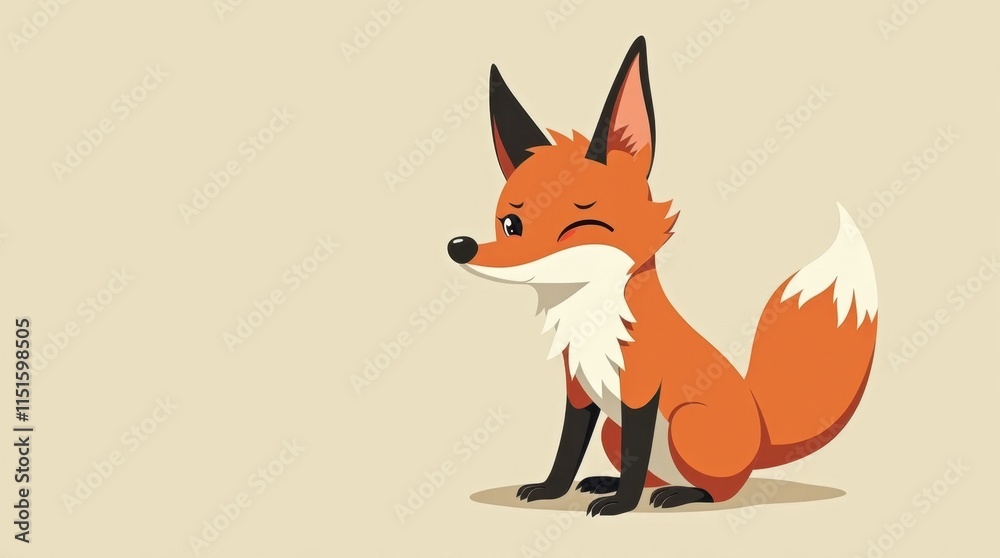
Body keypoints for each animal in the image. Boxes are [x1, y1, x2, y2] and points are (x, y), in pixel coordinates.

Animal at [446, 36, 878, 516]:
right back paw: (605, 480)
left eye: (579, 226)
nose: (460, 247)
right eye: (510, 225)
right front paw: (553, 489)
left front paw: (620, 505)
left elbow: (632, 457)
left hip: (686, 425)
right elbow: (567, 451)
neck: (592, 320)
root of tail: (761, 437)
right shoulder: (579, 392)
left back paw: (679, 494)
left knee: (718, 489)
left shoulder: (640, 392)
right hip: (612, 430)